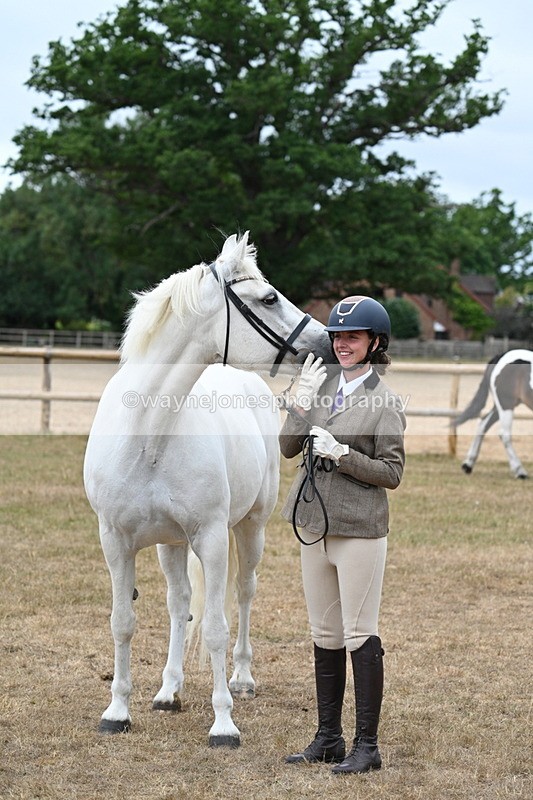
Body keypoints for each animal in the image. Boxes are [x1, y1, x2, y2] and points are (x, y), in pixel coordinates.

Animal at [83, 231, 330, 748]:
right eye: (269, 298)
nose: (326, 342)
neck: (149, 434)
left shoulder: (213, 538)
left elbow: (216, 628)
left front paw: (223, 723)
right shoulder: (115, 541)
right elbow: (123, 623)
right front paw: (117, 712)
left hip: (249, 530)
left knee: (243, 594)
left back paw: (242, 679)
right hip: (170, 544)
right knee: (180, 605)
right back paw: (168, 689)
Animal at [452, 349, 533, 478]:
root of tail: (501, 356)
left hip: (501, 406)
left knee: (483, 424)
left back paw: (468, 464)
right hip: (506, 404)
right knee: (504, 434)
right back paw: (520, 471)